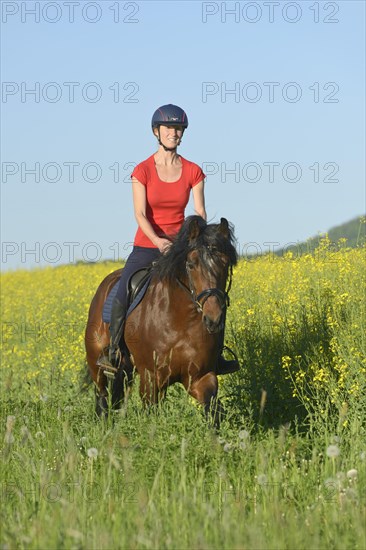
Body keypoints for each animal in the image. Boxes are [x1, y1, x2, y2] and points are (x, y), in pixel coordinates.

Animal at [84, 218, 237, 424]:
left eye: (226, 264)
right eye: (191, 264)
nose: (213, 318)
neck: (181, 322)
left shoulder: (201, 377)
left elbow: (213, 413)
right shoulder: (150, 378)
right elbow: (151, 418)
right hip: (97, 363)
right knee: (101, 399)